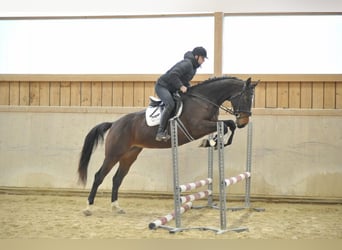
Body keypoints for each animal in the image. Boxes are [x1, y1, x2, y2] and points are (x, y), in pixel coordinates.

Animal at [78, 76, 256, 215]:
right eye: (246, 98)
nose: (244, 122)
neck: (203, 100)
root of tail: (114, 123)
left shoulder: (211, 123)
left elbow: (229, 125)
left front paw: (215, 142)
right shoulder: (197, 127)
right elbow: (226, 125)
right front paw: (213, 142)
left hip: (130, 155)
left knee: (117, 179)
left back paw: (116, 207)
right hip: (113, 154)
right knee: (99, 176)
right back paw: (88, 208)